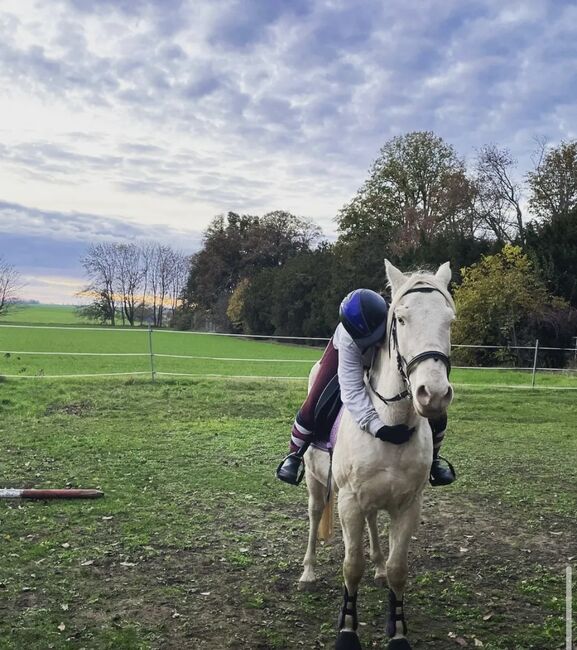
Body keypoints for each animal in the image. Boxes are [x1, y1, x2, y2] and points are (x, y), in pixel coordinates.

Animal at [296, 260, 454, 648]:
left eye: (449, 319)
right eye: (401, 319)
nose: (433, 394)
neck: (390, 424)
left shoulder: (409, 504)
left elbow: (399, 570)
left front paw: (397, 632)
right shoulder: (349, 501)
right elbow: (351, 567)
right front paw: (347, 632)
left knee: (372, 526)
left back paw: (378, 565)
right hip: (316, 483)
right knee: (313, 517)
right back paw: (307, 572)